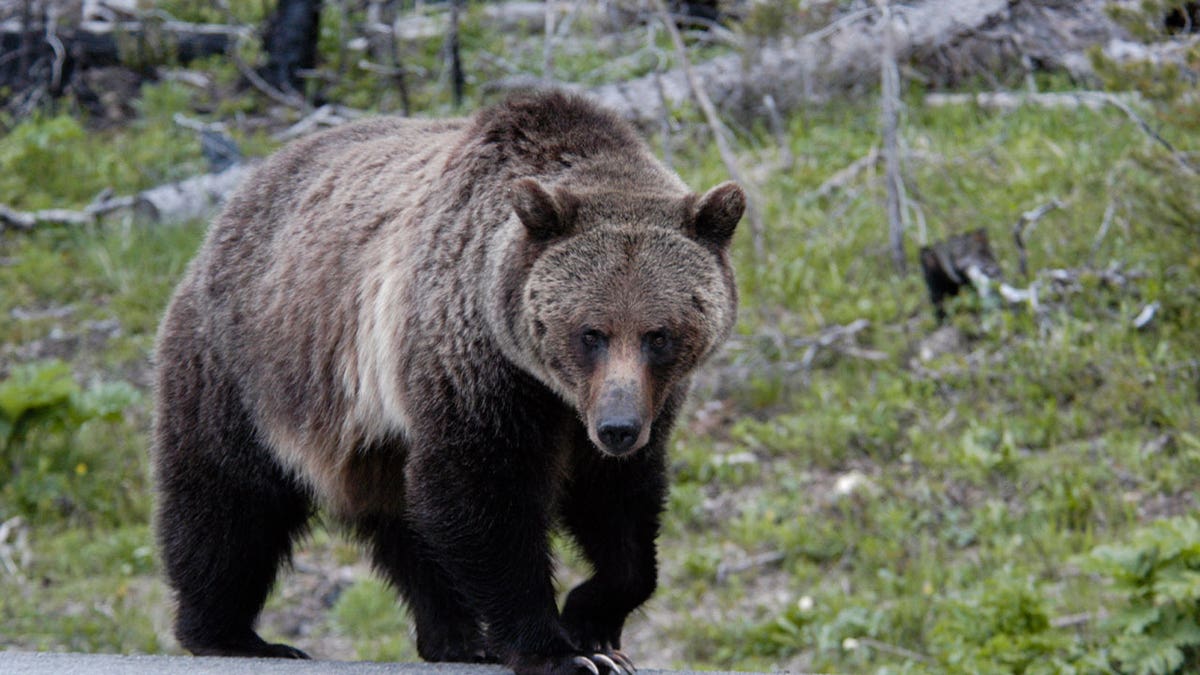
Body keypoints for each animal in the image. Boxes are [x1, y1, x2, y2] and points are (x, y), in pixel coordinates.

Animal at [154, 89, 744, 672]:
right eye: (590, 332)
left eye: (659, 335)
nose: (617, 428)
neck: (552, 389)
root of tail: (241, 194)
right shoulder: (476, 364)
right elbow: (481, 491)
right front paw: (557, 650)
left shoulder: (642, 402)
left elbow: (620, 502)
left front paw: (593, 626)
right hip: (245, 362)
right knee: (229, 498)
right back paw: (232, 634)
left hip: (370, 431)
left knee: (402, 521)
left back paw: (457, 638)